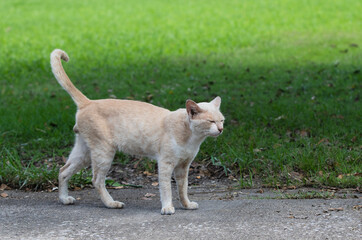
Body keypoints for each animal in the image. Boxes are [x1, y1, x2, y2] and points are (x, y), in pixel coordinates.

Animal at [49, 48, 225, 214]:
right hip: (104, 153)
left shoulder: (183, 166)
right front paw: (167, 208)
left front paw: (187, 205)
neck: (192, 138)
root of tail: (88, 102)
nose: (221, 129)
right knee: (96, 180)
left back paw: (64, 199)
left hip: (84, 153)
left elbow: (183, 189)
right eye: (211, 121)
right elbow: (166, 189)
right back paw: (112, 203)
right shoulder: (165, 164)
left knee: (63, 171)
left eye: (222, 120)